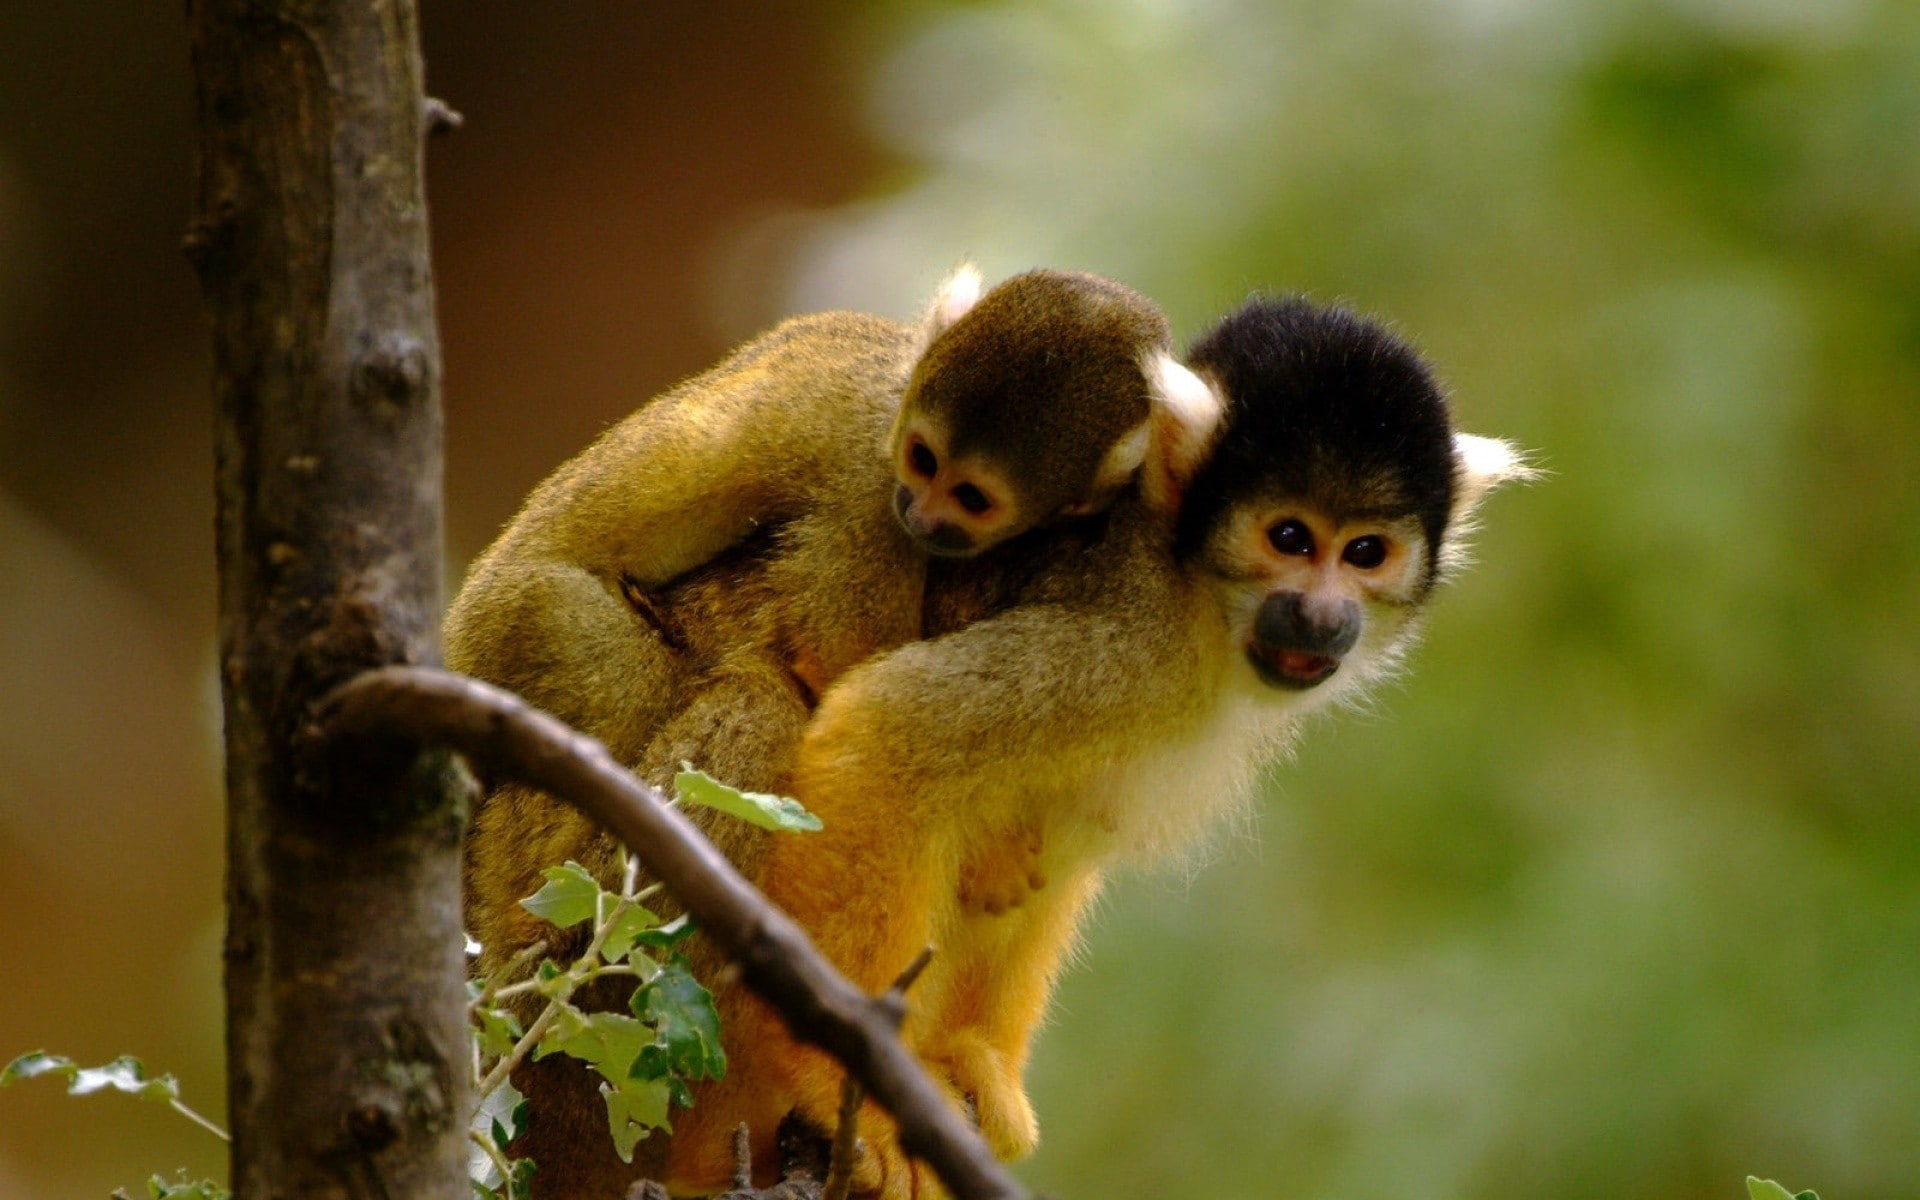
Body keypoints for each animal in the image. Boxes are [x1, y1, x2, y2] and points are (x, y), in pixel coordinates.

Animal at [446, 267, 1198, 1196]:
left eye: (973, 496)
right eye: (922, 462)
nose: (925, 513)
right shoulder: (866, 486)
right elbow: (839, 666)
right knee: (738, 707)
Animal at [680, 295, 1532, 1200]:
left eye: (1366, 551)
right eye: (1291, 538)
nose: (1322, 615)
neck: (1195, 596)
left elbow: (1043, 852)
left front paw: (969, 1063)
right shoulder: (1126, 645)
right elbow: (887, 732)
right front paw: (846, 1081)